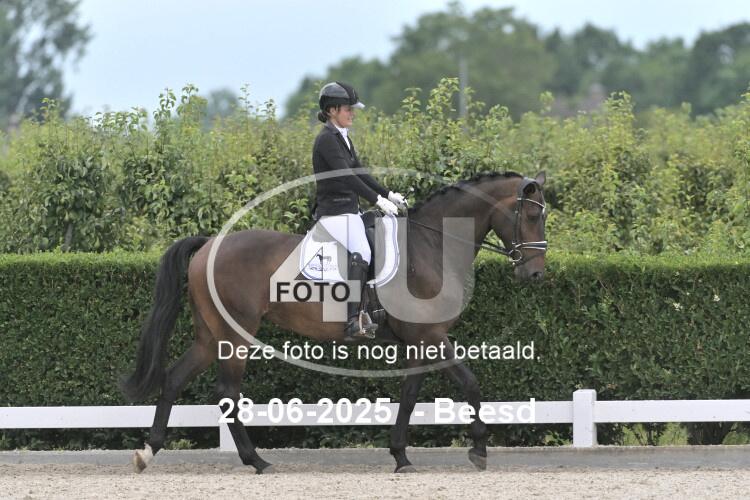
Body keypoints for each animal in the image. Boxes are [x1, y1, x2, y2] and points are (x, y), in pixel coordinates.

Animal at [121, 170, 547, 474]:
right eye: (530, 215)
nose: (536, 274)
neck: (431, 247)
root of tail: (209, 244)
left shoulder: (417, 341)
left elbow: (410, 396)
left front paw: (400, 456)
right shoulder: (431, 336)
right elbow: (470, 383)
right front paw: (479, 450)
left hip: (210, 336)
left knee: (174, 378)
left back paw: (148, 452)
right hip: (235, 336)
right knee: (227, 393)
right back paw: (257, 461)